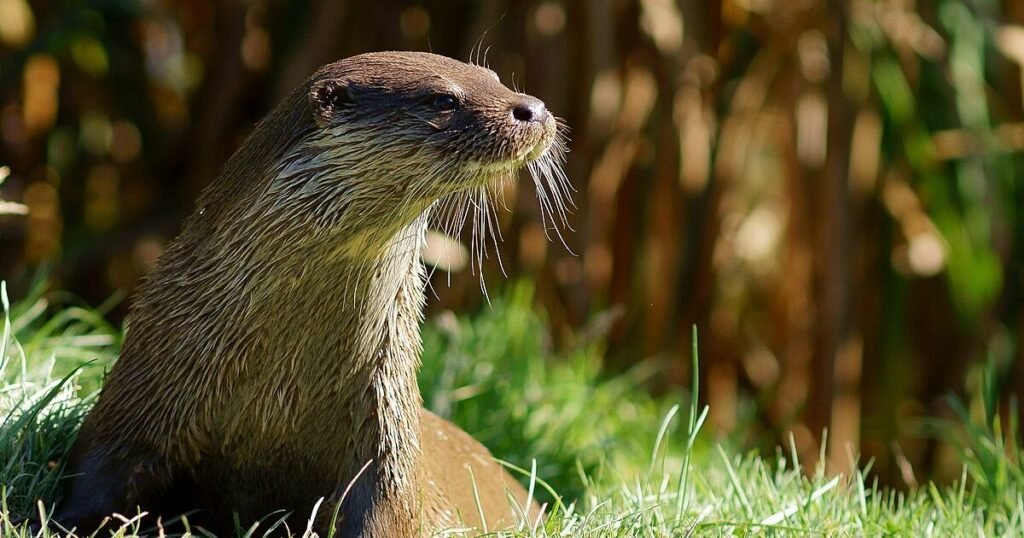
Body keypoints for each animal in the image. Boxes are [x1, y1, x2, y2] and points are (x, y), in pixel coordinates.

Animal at [49, 51, 568, 536]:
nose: (535, 108)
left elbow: (385, 509)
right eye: (443, 99)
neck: (276, 394)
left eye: (496, 78)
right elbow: (97, 475)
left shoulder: (386, 434)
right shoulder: (141, 398)